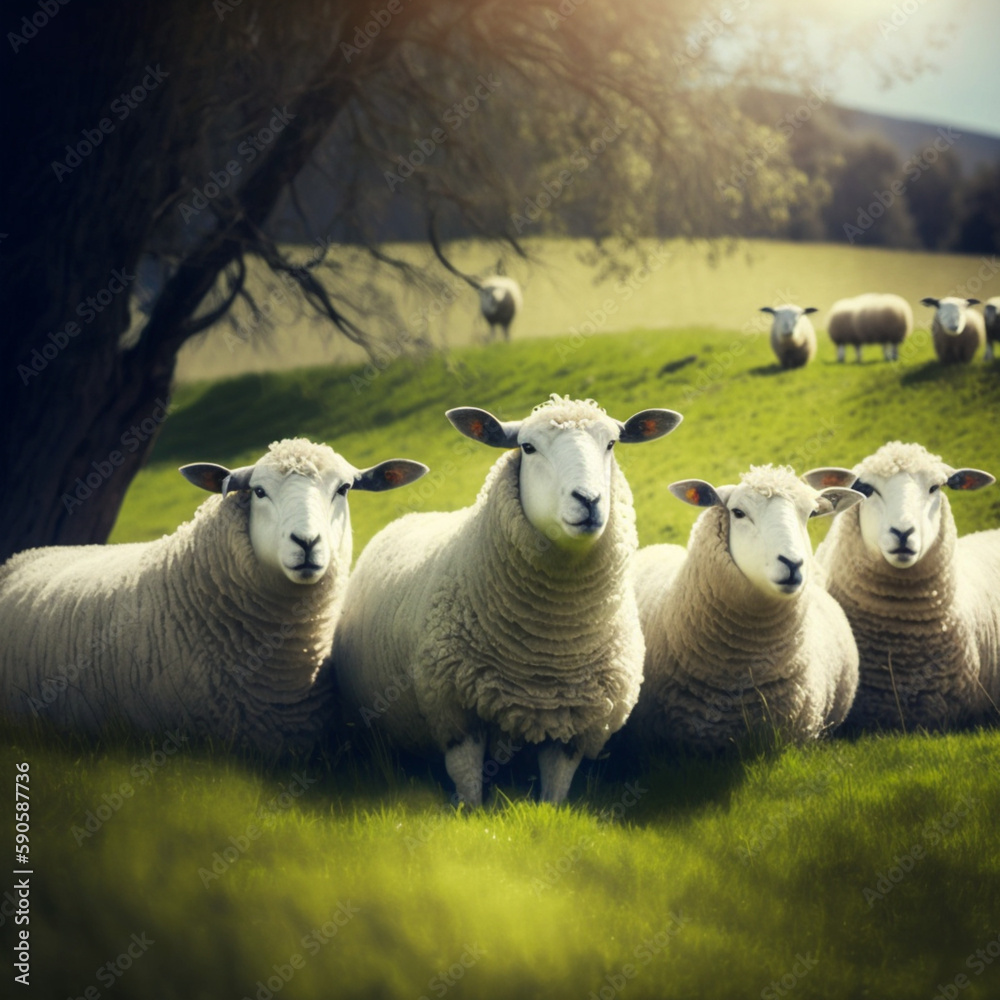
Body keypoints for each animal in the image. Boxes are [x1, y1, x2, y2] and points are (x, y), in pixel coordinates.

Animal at [333, 395, 683, 805]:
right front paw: (469, 809)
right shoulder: (455, 710)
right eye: (527, 448)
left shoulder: (573, 723)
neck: (548, 645)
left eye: (611, 443)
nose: (589, 500)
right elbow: (469, 787)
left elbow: (555, 793)